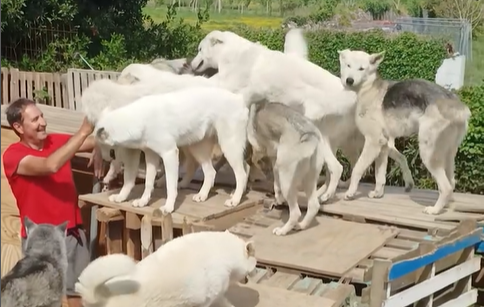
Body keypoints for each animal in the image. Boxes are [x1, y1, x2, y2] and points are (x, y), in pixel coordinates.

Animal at [94, 86, 250, 215]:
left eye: (101, 145)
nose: (104, 159)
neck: (140, 120)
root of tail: (239, 98)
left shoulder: (169, 154)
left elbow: (170, 185)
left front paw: (168, 208)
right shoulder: (151, 157)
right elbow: (148, 183)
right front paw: (143, 201)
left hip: (229, 147)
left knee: (241, 173)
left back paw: (235, 199)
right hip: (199, 149)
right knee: (211, 172)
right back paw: (203, 195)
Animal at [191, 30, 362, 203]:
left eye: (199, 49)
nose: (191, 64)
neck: (233, 53)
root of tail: (350, 93)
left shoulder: (235, 87)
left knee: (337, 168)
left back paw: (327, 195)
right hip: (323, 138)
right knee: (333, 168)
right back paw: (322, 194)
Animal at [246, 101, 326, 236]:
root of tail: (309, 136)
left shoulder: (259, 149)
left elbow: (255, 159)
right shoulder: (275, 160)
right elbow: (275, 180)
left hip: (288, 183)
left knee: (295, 213)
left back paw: (282, 230)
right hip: (309, 181)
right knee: (313, 206)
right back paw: (301, 226)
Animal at [338, 49, 470, 215]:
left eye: (361, 69)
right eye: (348, 65)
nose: (349, 80)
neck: (369, 89)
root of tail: (457, 104)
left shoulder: (373, 142)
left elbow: (357, 169)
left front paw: (350, 193)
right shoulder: (382, 146)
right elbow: (380, 175)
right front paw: (378, 193)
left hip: (428, 153)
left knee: (445, 187)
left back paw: (434, 210)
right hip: (448, 155)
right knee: (451, 183)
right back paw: (444, 207)